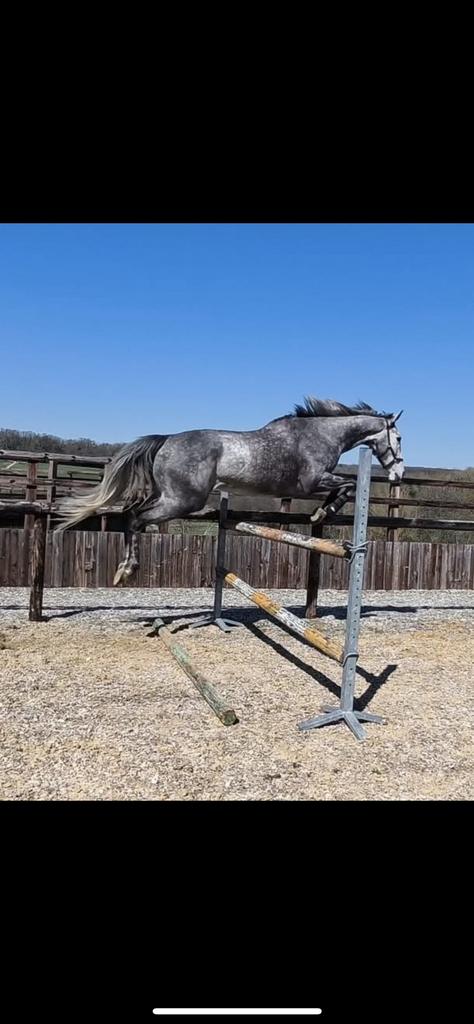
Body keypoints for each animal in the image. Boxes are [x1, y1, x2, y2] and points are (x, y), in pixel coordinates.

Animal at [55, 397, 404, 585]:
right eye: (399, 439)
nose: (399, 475)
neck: (320, 434)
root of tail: (166, 440)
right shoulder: (312, 481)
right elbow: (347, 486)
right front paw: (324, 511)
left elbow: (344, 486)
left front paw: (322, 512)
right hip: (183, 500)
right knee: (135, 518)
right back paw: (127, 570)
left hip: (168, 495)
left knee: (131, 513)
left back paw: (122, 569)